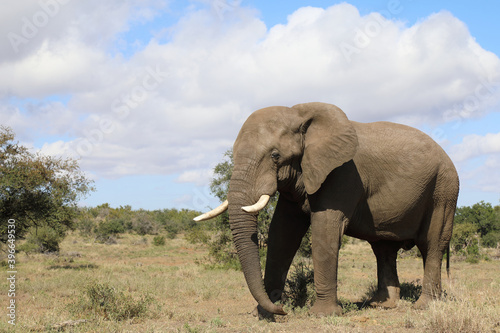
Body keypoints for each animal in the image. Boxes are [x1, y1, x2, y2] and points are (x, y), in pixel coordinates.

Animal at [193, 102, 458, 316]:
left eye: (276, 155)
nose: (283, 309)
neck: (301, 115)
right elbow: (282, 233)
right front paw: (264, 313)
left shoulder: (342, 173)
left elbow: (325, 228)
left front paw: (322, 314)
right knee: (383, 249)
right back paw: (381, 305)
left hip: (443, 189)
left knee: (432, 244)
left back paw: (424, 307)